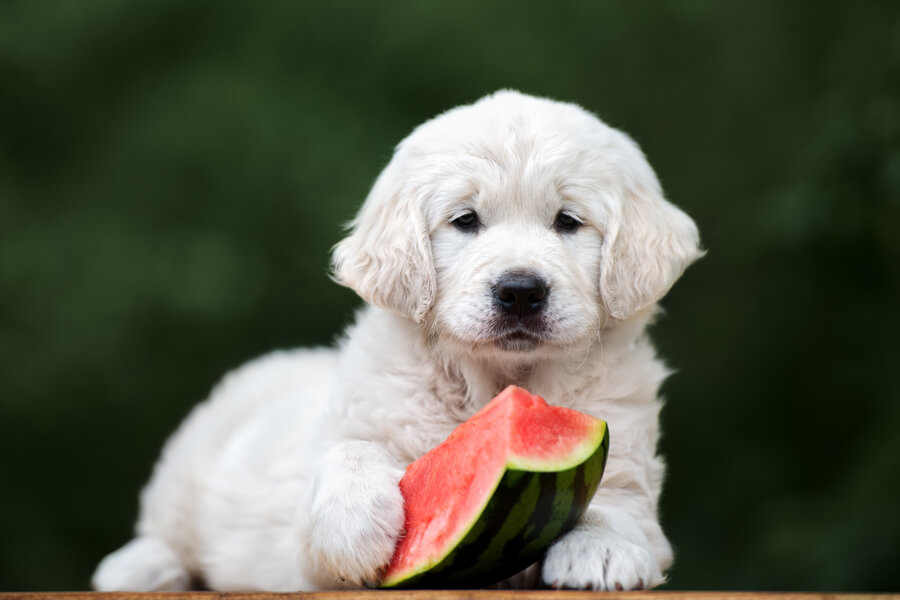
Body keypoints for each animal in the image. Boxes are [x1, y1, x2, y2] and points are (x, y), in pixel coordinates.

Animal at [95, 89, 708, 592]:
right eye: (466, 220)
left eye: (568, 221)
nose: (520, 291)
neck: (493, 383)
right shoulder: (329, 486)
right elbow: (350, 454)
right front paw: (353, 528)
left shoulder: (624, 447)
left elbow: (618, 503)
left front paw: (601, 550)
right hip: (191, 459)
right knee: (164, 528)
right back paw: (139, 567)